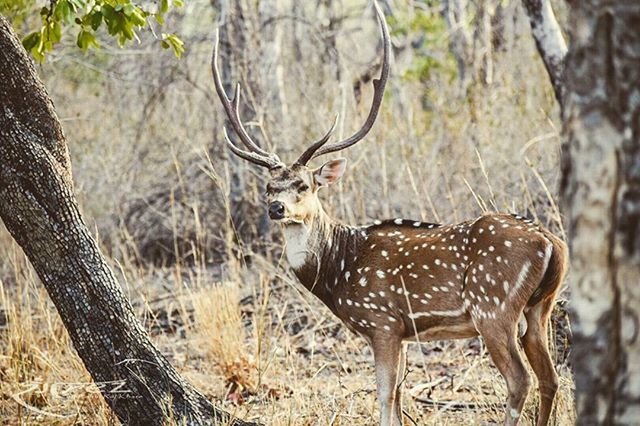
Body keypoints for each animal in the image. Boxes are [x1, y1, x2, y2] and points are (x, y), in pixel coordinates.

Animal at [212, 1, 568, 424]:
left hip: (493, 306)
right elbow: (397, 395)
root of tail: (551, 243)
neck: (338, 270)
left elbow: (384, 396)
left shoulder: (381, 321)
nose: (276, 208)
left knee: (520, 380)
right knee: (550, 377)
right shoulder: (402, 332)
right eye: (270, 186)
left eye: (304, 185)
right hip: (539, 307)